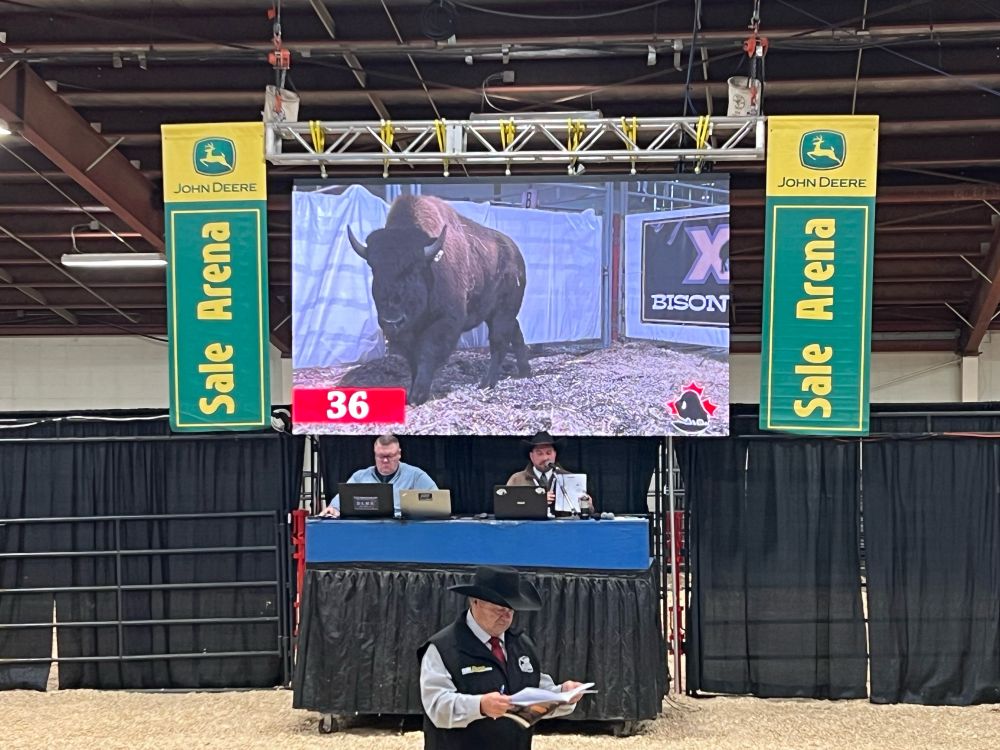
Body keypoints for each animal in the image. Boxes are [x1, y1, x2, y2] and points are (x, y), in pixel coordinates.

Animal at [347, 195, 531, 405]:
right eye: (374, 268)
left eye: (414, 269)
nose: (392, 321)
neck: (431, 264)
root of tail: (516, 254)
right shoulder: (409, 332)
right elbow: (413, 360)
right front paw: (411, 393)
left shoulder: (445, 321)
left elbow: (428, 353)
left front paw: (417, 395)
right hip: (497, 314)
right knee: (515, 332)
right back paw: (525, 372)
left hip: (503, 312)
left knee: (498, 342)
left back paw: (486, 383)